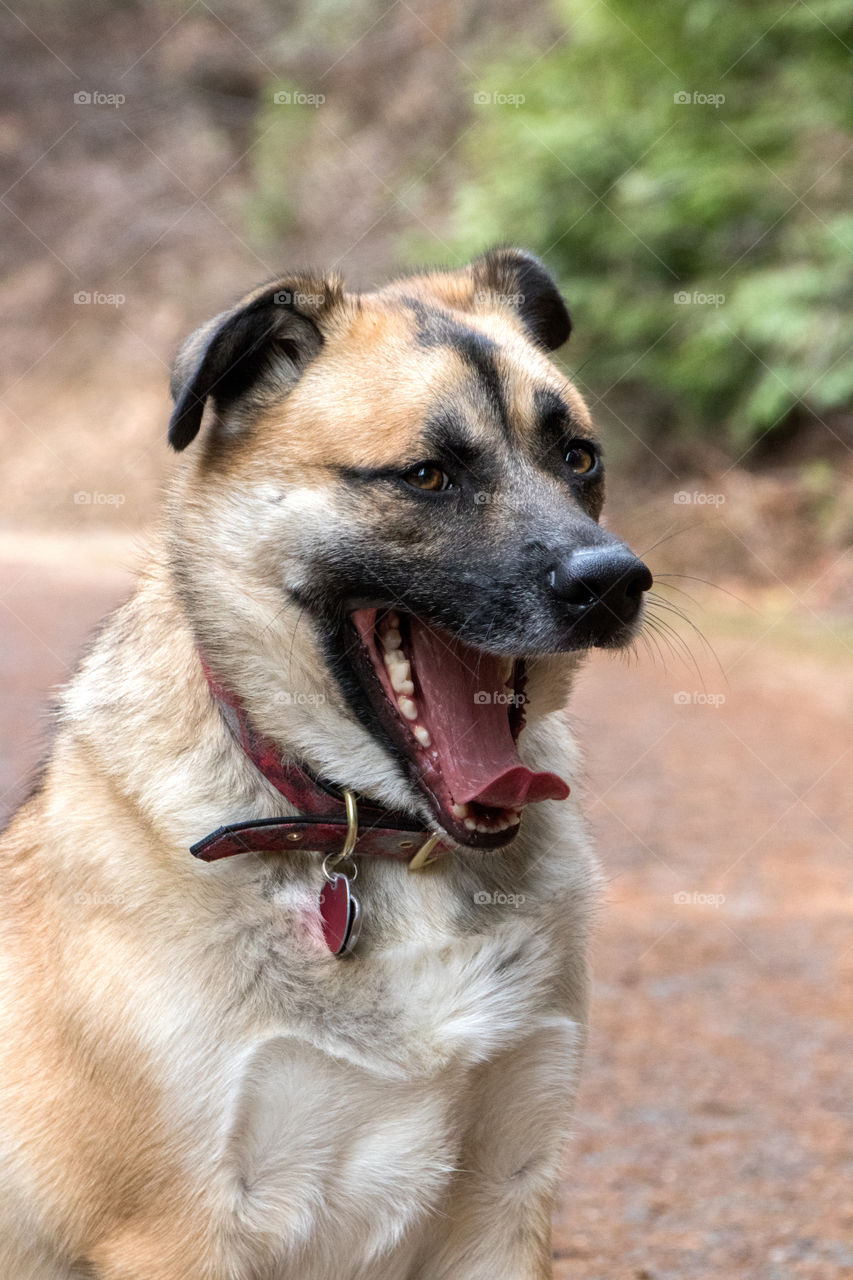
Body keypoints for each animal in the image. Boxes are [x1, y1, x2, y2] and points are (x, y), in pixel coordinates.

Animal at [1, 249, 650, 1280]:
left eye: (577, 459)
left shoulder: (506, 1204)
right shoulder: (178, 1231)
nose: (615, 583)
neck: (381, 844)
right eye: (427, 475)